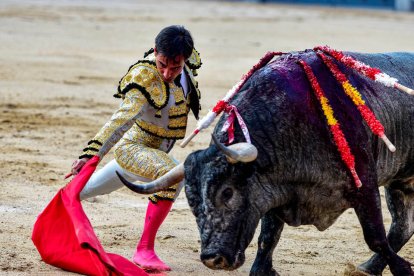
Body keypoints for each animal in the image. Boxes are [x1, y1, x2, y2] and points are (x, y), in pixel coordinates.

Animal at [118, 50, 414, 276]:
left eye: (227, 192)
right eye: (191, 202)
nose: (213, 259)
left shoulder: (364, 183)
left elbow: (375, 237)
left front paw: (404, 269)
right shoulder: (276, 189)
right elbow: (266, 238)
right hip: (402, 183)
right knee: (403, 226)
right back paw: (369, 268)